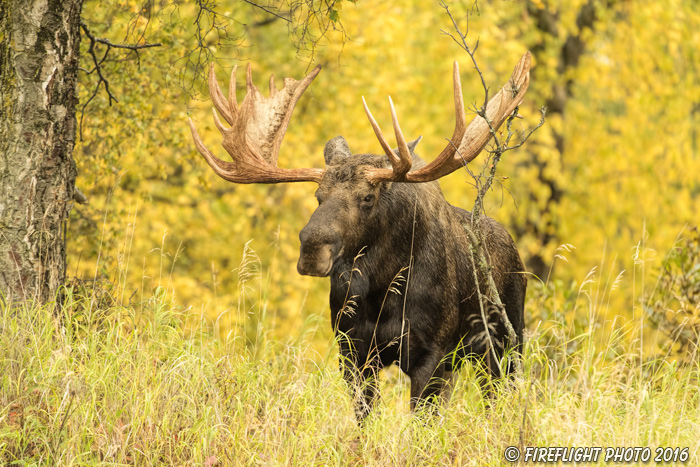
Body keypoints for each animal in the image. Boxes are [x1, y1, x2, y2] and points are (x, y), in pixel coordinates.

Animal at [186, 54, 532, 420]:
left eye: (368, 197)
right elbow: (364, 420)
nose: (312, 249)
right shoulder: (353, 352)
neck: (383, 289)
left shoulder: (432, 353)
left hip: (505, 342)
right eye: (318, 196)